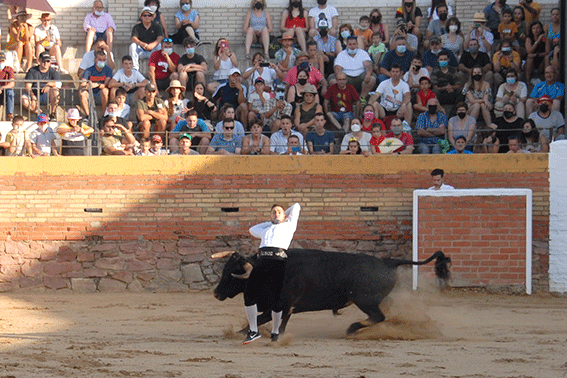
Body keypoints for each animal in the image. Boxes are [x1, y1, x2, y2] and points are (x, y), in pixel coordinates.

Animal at [213, 250, 452, 336]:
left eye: (232, 273)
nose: (215, 293)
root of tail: (387, 261)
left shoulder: (285, 305)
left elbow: (275, 323)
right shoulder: (278, 306)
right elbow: (261, 319)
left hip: (364, 300)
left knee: (379, 316)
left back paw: (352, 328)